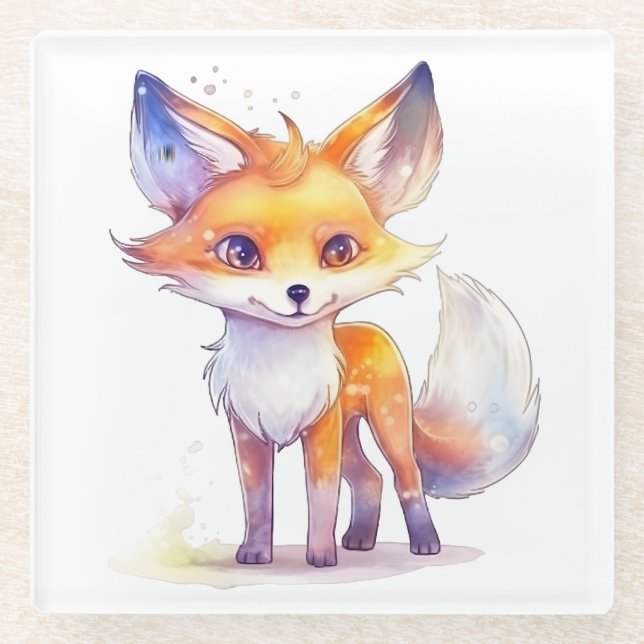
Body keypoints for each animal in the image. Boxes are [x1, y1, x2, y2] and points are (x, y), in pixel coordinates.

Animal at [114, 61, 540, 568]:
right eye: (240, 253)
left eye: (339, 250)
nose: (298, 292)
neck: (278, 369)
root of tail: (374, 329)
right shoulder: (250, 433)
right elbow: (257, 502)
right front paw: (255, 553)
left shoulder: (321, 428)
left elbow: (320, 501)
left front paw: (319, 557)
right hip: (350, 433)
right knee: (370, 477)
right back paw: (359, 539)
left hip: (386, 424)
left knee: (405, 476)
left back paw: (422, 543)